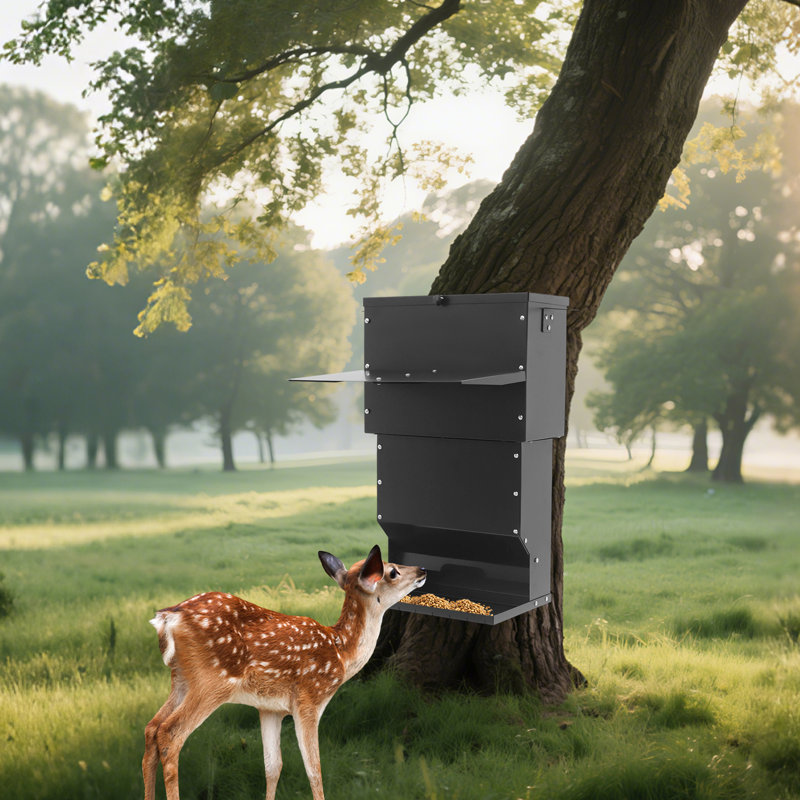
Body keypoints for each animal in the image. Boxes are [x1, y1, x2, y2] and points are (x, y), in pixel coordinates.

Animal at [143, 544, 426, 800]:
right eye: (392, 572)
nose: (422, 569)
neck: (341, 653)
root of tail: (167, 618)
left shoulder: (270, 708)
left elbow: (273, 767)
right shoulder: (309, 699)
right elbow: (314, 770)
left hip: (181, 678)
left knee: (151, 728)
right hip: (213, 680)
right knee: (169, 733)